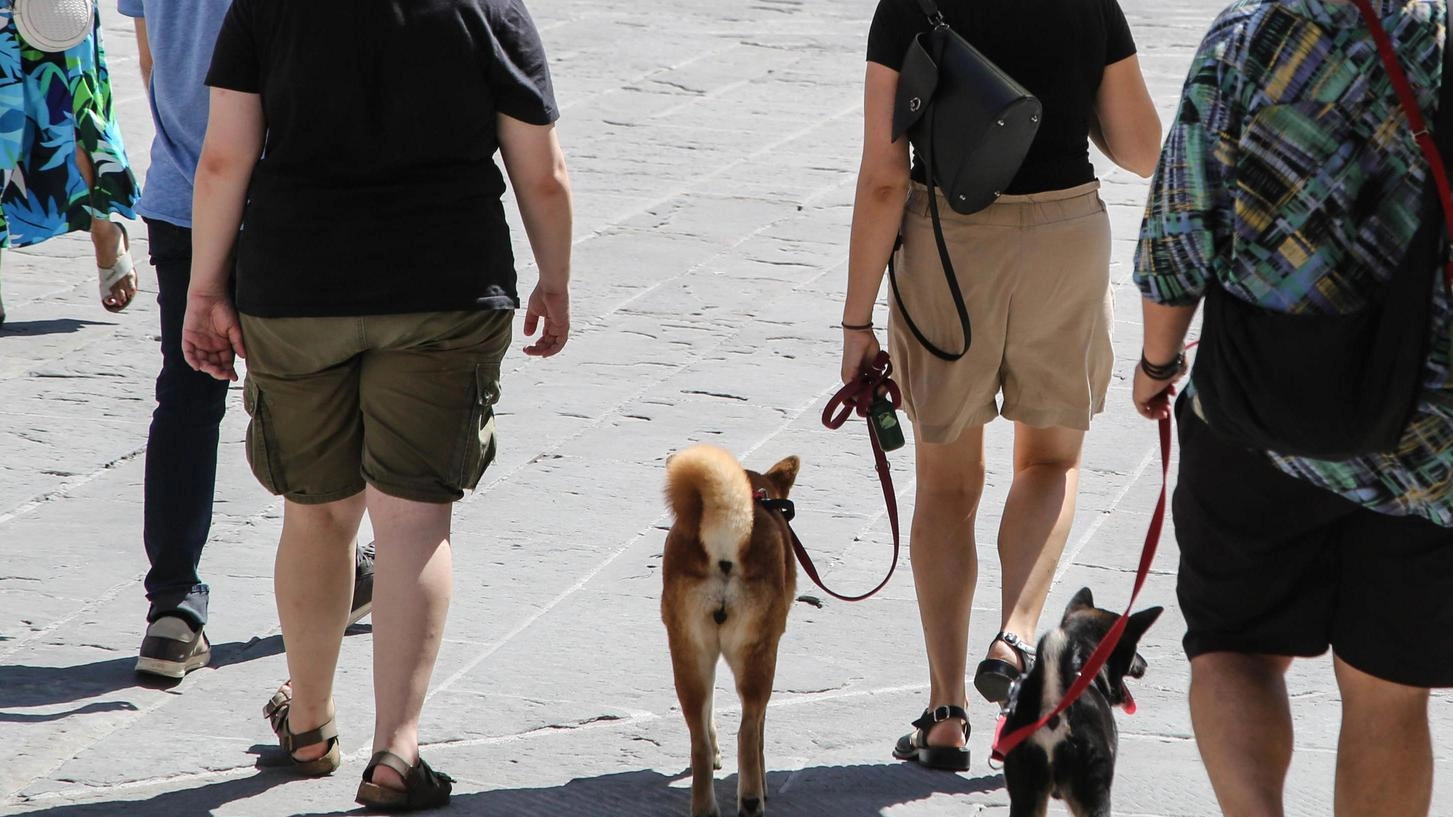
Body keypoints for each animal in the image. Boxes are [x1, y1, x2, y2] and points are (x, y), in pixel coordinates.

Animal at [665, 444, 802, 814]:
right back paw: (753, 798)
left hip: (688, 655)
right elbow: (760, 732)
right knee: (748, 732)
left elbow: (709, 712)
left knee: (698, 739)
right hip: (757, 659)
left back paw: (704, 805)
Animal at [1005, 584, 1162, 814]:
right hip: (1092, 789)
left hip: (1026, 793)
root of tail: (1053, 708)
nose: (1145, 664)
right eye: (1134, 650)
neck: (1082, 663)